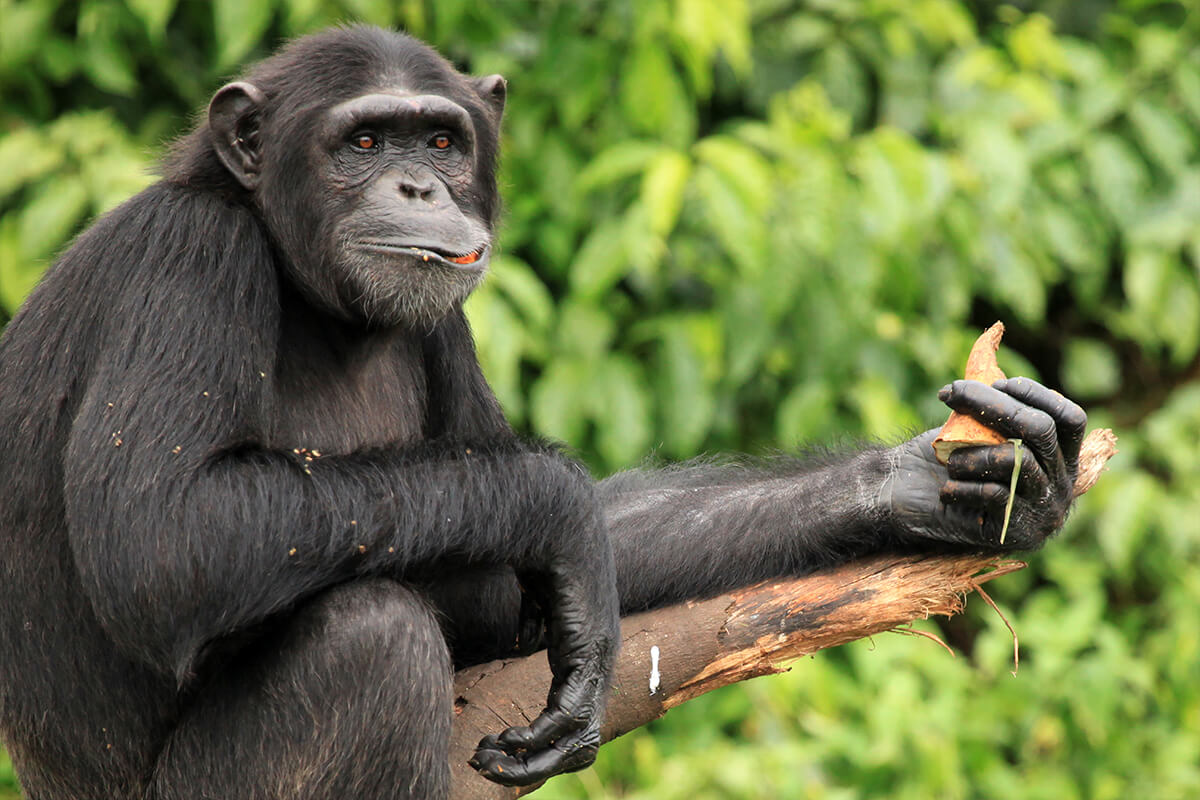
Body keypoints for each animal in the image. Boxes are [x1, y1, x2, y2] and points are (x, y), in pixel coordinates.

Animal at [0, 25, 1089, 800]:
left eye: (442, 139)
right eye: (364, 141)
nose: (420, 183)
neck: (309, 292)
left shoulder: (446, 326)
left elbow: (522, 586)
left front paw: (942, 483)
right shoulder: (186, 259)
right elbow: (165, 539)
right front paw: (556, 503)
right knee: (367, 640)